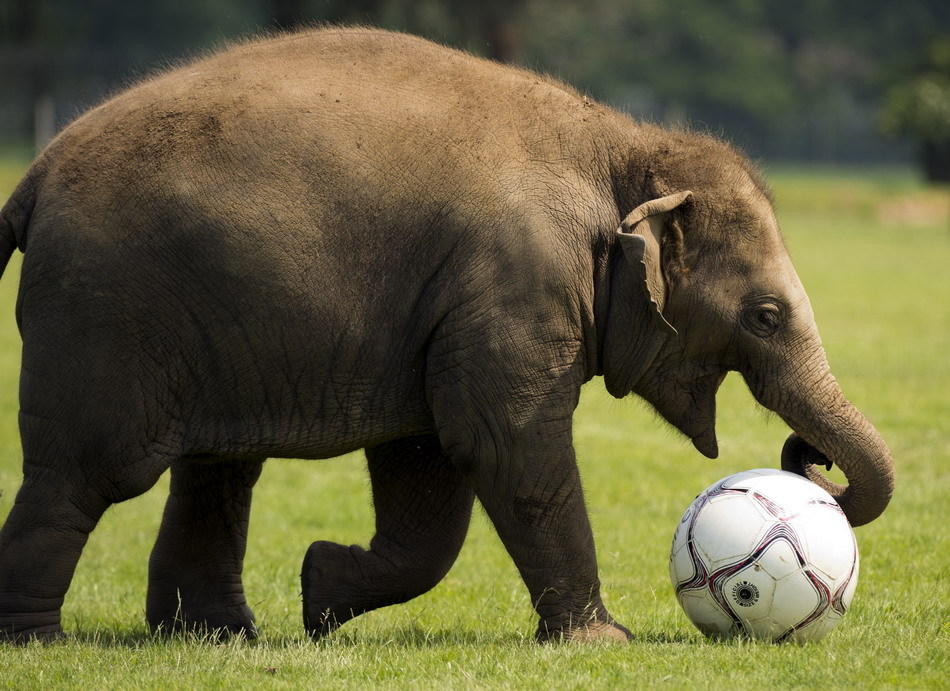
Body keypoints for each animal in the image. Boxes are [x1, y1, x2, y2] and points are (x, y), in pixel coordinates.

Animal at [0, 27, 892, 644]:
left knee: (217, 470)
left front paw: (320, 590)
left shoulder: (448, 307)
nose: (807, 462)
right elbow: (505, 442)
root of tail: (34, 175)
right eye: (765, 316)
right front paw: (603, 640)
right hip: (107, 313)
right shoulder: (512, 286)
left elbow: (428, 466)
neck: (620, 146)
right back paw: (41, 640)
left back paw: (218, 635)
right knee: (89, 471)